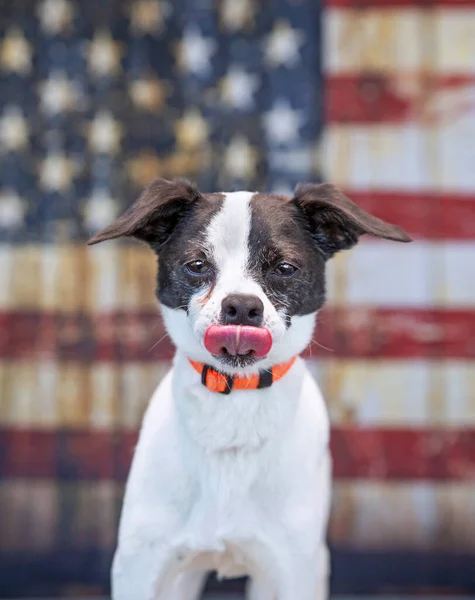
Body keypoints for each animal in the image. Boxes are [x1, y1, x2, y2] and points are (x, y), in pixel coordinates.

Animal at [89, 179, 412, 600]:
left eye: (285, 268)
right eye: (197, 265)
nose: (241, 307)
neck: (234, 405)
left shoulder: (293, 568)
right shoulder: (140, 563)